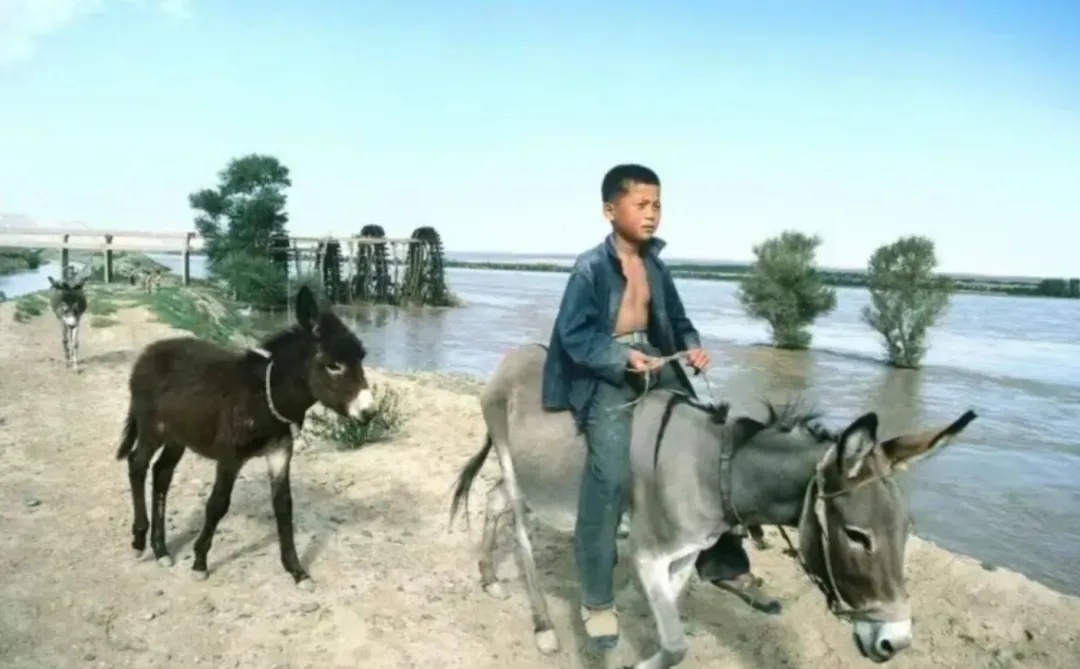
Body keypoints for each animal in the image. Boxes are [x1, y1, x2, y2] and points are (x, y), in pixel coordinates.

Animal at [114, 285, 375, 589]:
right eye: (333, 366)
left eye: (361, 358)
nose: (370, 412)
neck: (266, 395)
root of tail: (150, 351)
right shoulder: (230, 457)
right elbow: (217, 504)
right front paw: (200, 562)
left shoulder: (280, 452)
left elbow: (284, 507)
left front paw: (297, 571)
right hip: (152, 429)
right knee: (137, 465)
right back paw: (139, 540)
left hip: (178, 436)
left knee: (161, 473)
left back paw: (161, 550)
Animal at [449, 343, 977, 668]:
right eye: (856, 535)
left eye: (906, 530)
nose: (895, 641)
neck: (716, 470)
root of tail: (517, 354)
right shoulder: (648, 552)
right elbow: (676, 645)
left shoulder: (684, 554)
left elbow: (671, 634)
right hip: (509, 456)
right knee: (519, 533)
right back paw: (542, 625)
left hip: (534, 478)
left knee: (494, 500)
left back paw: (488, 576)